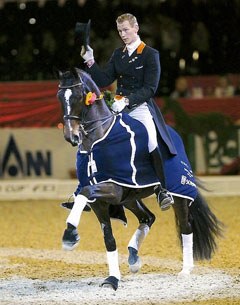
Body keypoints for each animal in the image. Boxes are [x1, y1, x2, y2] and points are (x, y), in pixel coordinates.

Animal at [55, 67, 223, 290]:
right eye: (59, 97)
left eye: (77, 96)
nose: (71, 136)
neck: (97, 141)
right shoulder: (102, 202)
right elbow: (109, 239)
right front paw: (112, 279)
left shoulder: (113, 187)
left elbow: (85, 192)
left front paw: (69, 235)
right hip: (131, 198)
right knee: (148, 217)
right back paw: (133, 257)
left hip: (178, 195)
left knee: (185, 226)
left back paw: (185, 270)